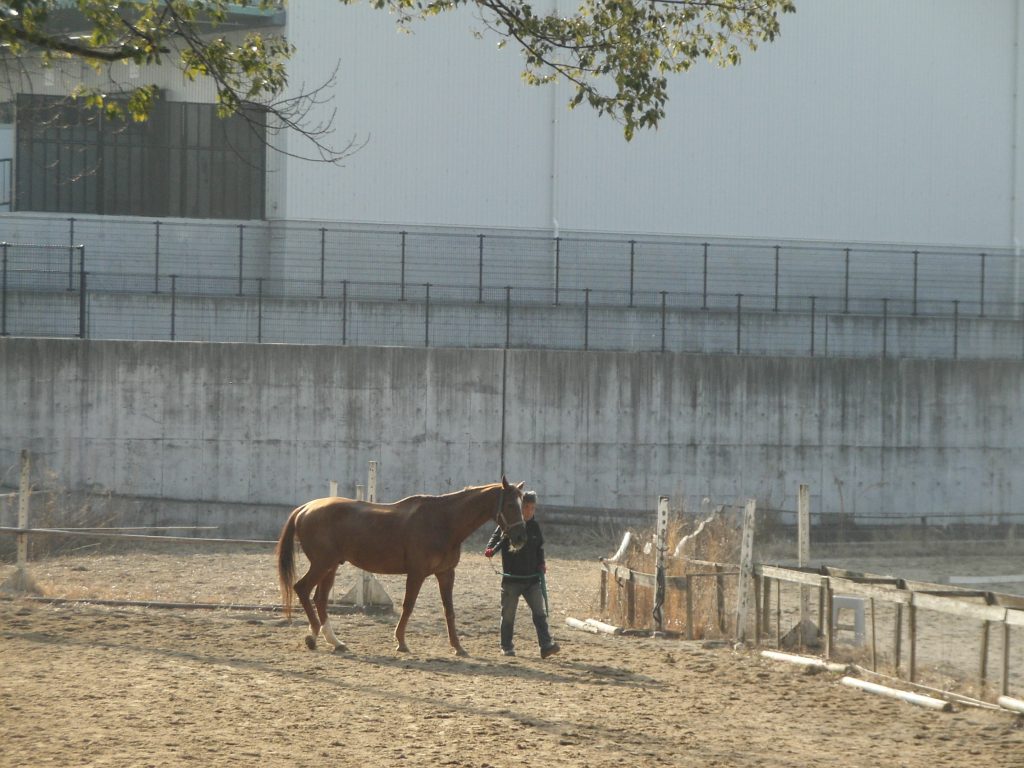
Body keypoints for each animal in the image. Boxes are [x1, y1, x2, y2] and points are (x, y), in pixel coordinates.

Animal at [276, 475, 528, 655]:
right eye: (509, 504)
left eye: (521, 503)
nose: (520, 538)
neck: (443, 521)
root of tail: (305, 508)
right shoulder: (417, 573)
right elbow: (408, 606)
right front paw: (401, 642)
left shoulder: (446, 573)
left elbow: (449, 610)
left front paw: (458, 647)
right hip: (322, 564)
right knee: (302, 589)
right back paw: (313, 635)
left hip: (331, 566)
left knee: (319, 599)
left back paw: (334, 641)